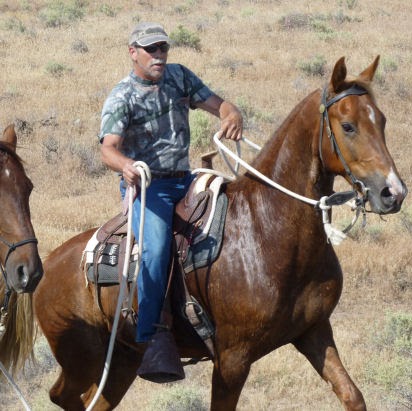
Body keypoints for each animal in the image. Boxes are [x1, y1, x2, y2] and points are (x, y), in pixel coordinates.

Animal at [33, 58, 408, 411]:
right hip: (82, 358)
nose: (393, 192)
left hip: (123, 360)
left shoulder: (314, 332)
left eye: (382, 121)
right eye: (348, 126)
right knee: (62, 395)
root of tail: (47, 265)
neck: (268, 229)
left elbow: (352, 396)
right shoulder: (232, 358)